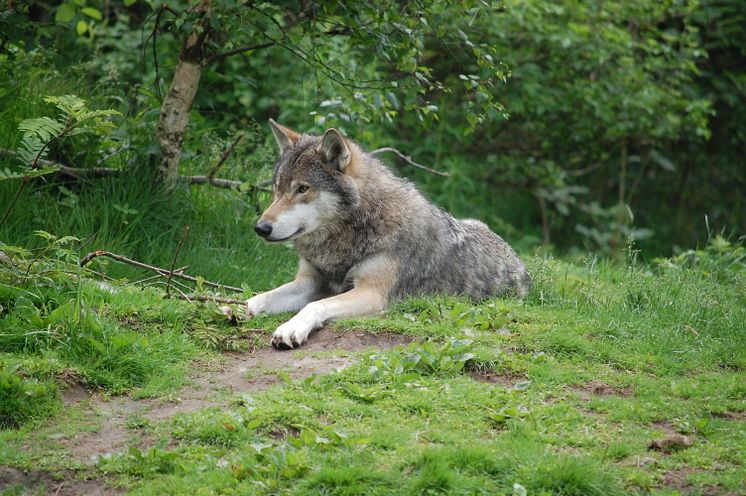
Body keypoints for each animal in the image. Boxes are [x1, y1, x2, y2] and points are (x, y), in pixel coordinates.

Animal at [244, 119, 528, 348]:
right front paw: (239, 308)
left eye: (303, 189)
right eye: (277, 188)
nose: (260, 228)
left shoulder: (371, 293)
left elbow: (316, 304)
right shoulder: (310, 280)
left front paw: (291, 328)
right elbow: (262, 296)